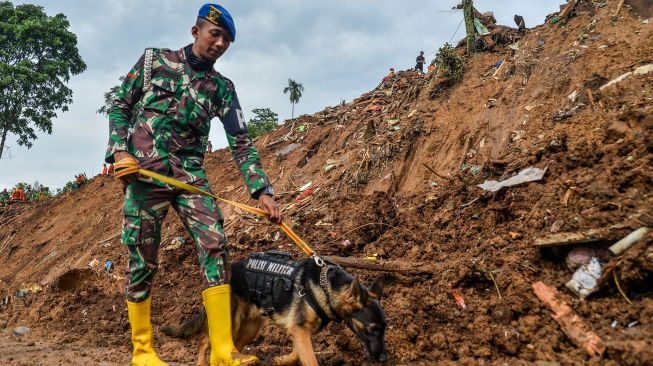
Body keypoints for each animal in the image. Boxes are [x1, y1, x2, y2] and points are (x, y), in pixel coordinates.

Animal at [163, 252, 388, 366]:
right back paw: (203, 362)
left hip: (250, 328)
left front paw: (284, 360)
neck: (326, 287)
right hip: (231, 320)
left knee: (234, 345)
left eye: (385, 328)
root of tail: (223, 277)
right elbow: (309, 358)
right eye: (373, 329)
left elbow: (298, 352)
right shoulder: (299, 330)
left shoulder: (299, 331)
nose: (384, 358)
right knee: (204, 340)